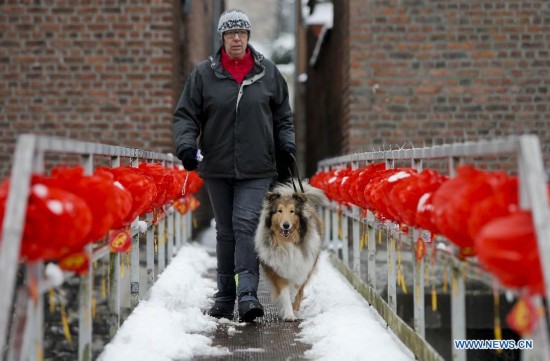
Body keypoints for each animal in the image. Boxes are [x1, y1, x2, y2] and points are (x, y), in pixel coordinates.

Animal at [256, 180, 328, 320]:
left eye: (292, 211)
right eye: (279, 211)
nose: (286, 225)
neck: (287, 243)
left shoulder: (301, 268)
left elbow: (295, 291)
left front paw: (292, 310)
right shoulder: (277, 269)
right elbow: (284, 293)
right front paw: (288, 314)